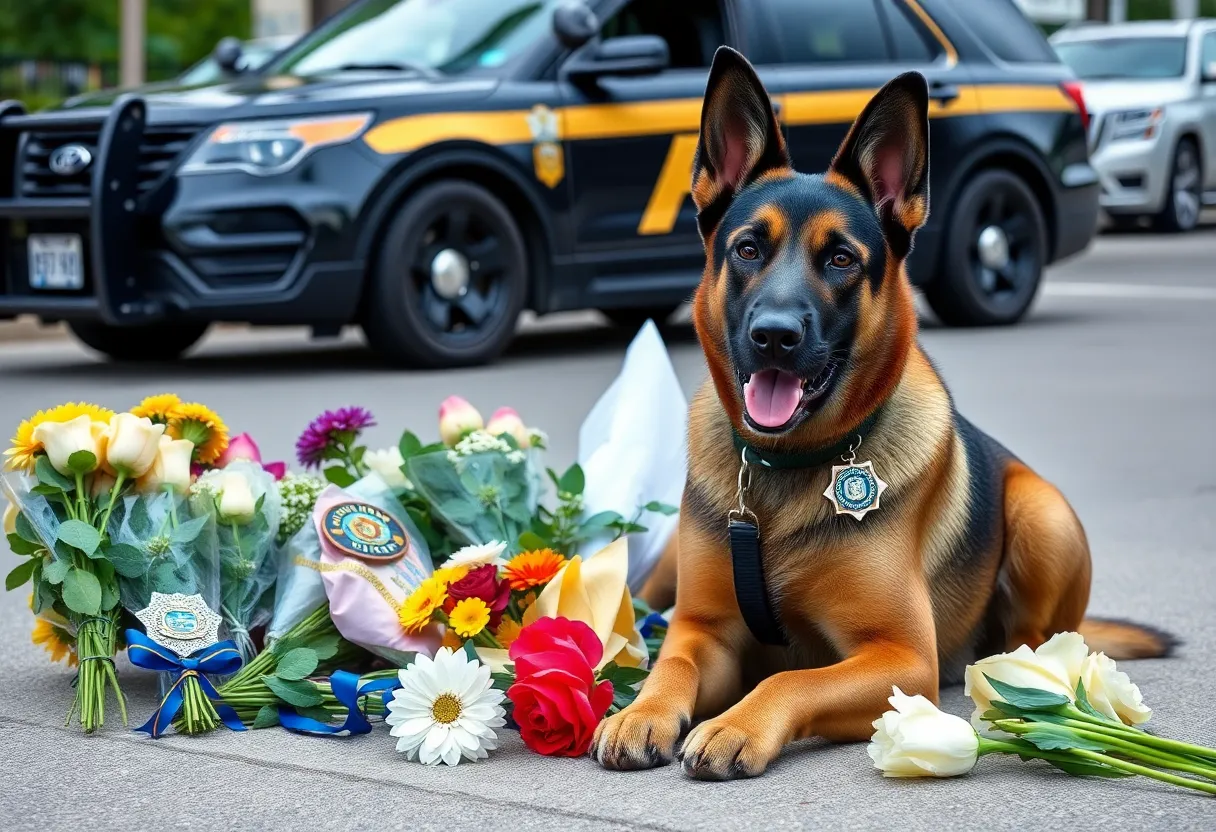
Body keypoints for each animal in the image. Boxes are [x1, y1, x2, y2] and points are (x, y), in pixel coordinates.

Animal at [593, 50, 1172, 778]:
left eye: (841, 258)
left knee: (1036, 640)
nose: (774, 336)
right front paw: (640, 711)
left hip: (1042, 516)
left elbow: (789, 677)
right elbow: (671, 665)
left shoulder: (900, 657)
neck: (787, 472)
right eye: (748, 248)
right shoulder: (704, 632)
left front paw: (736, 724)